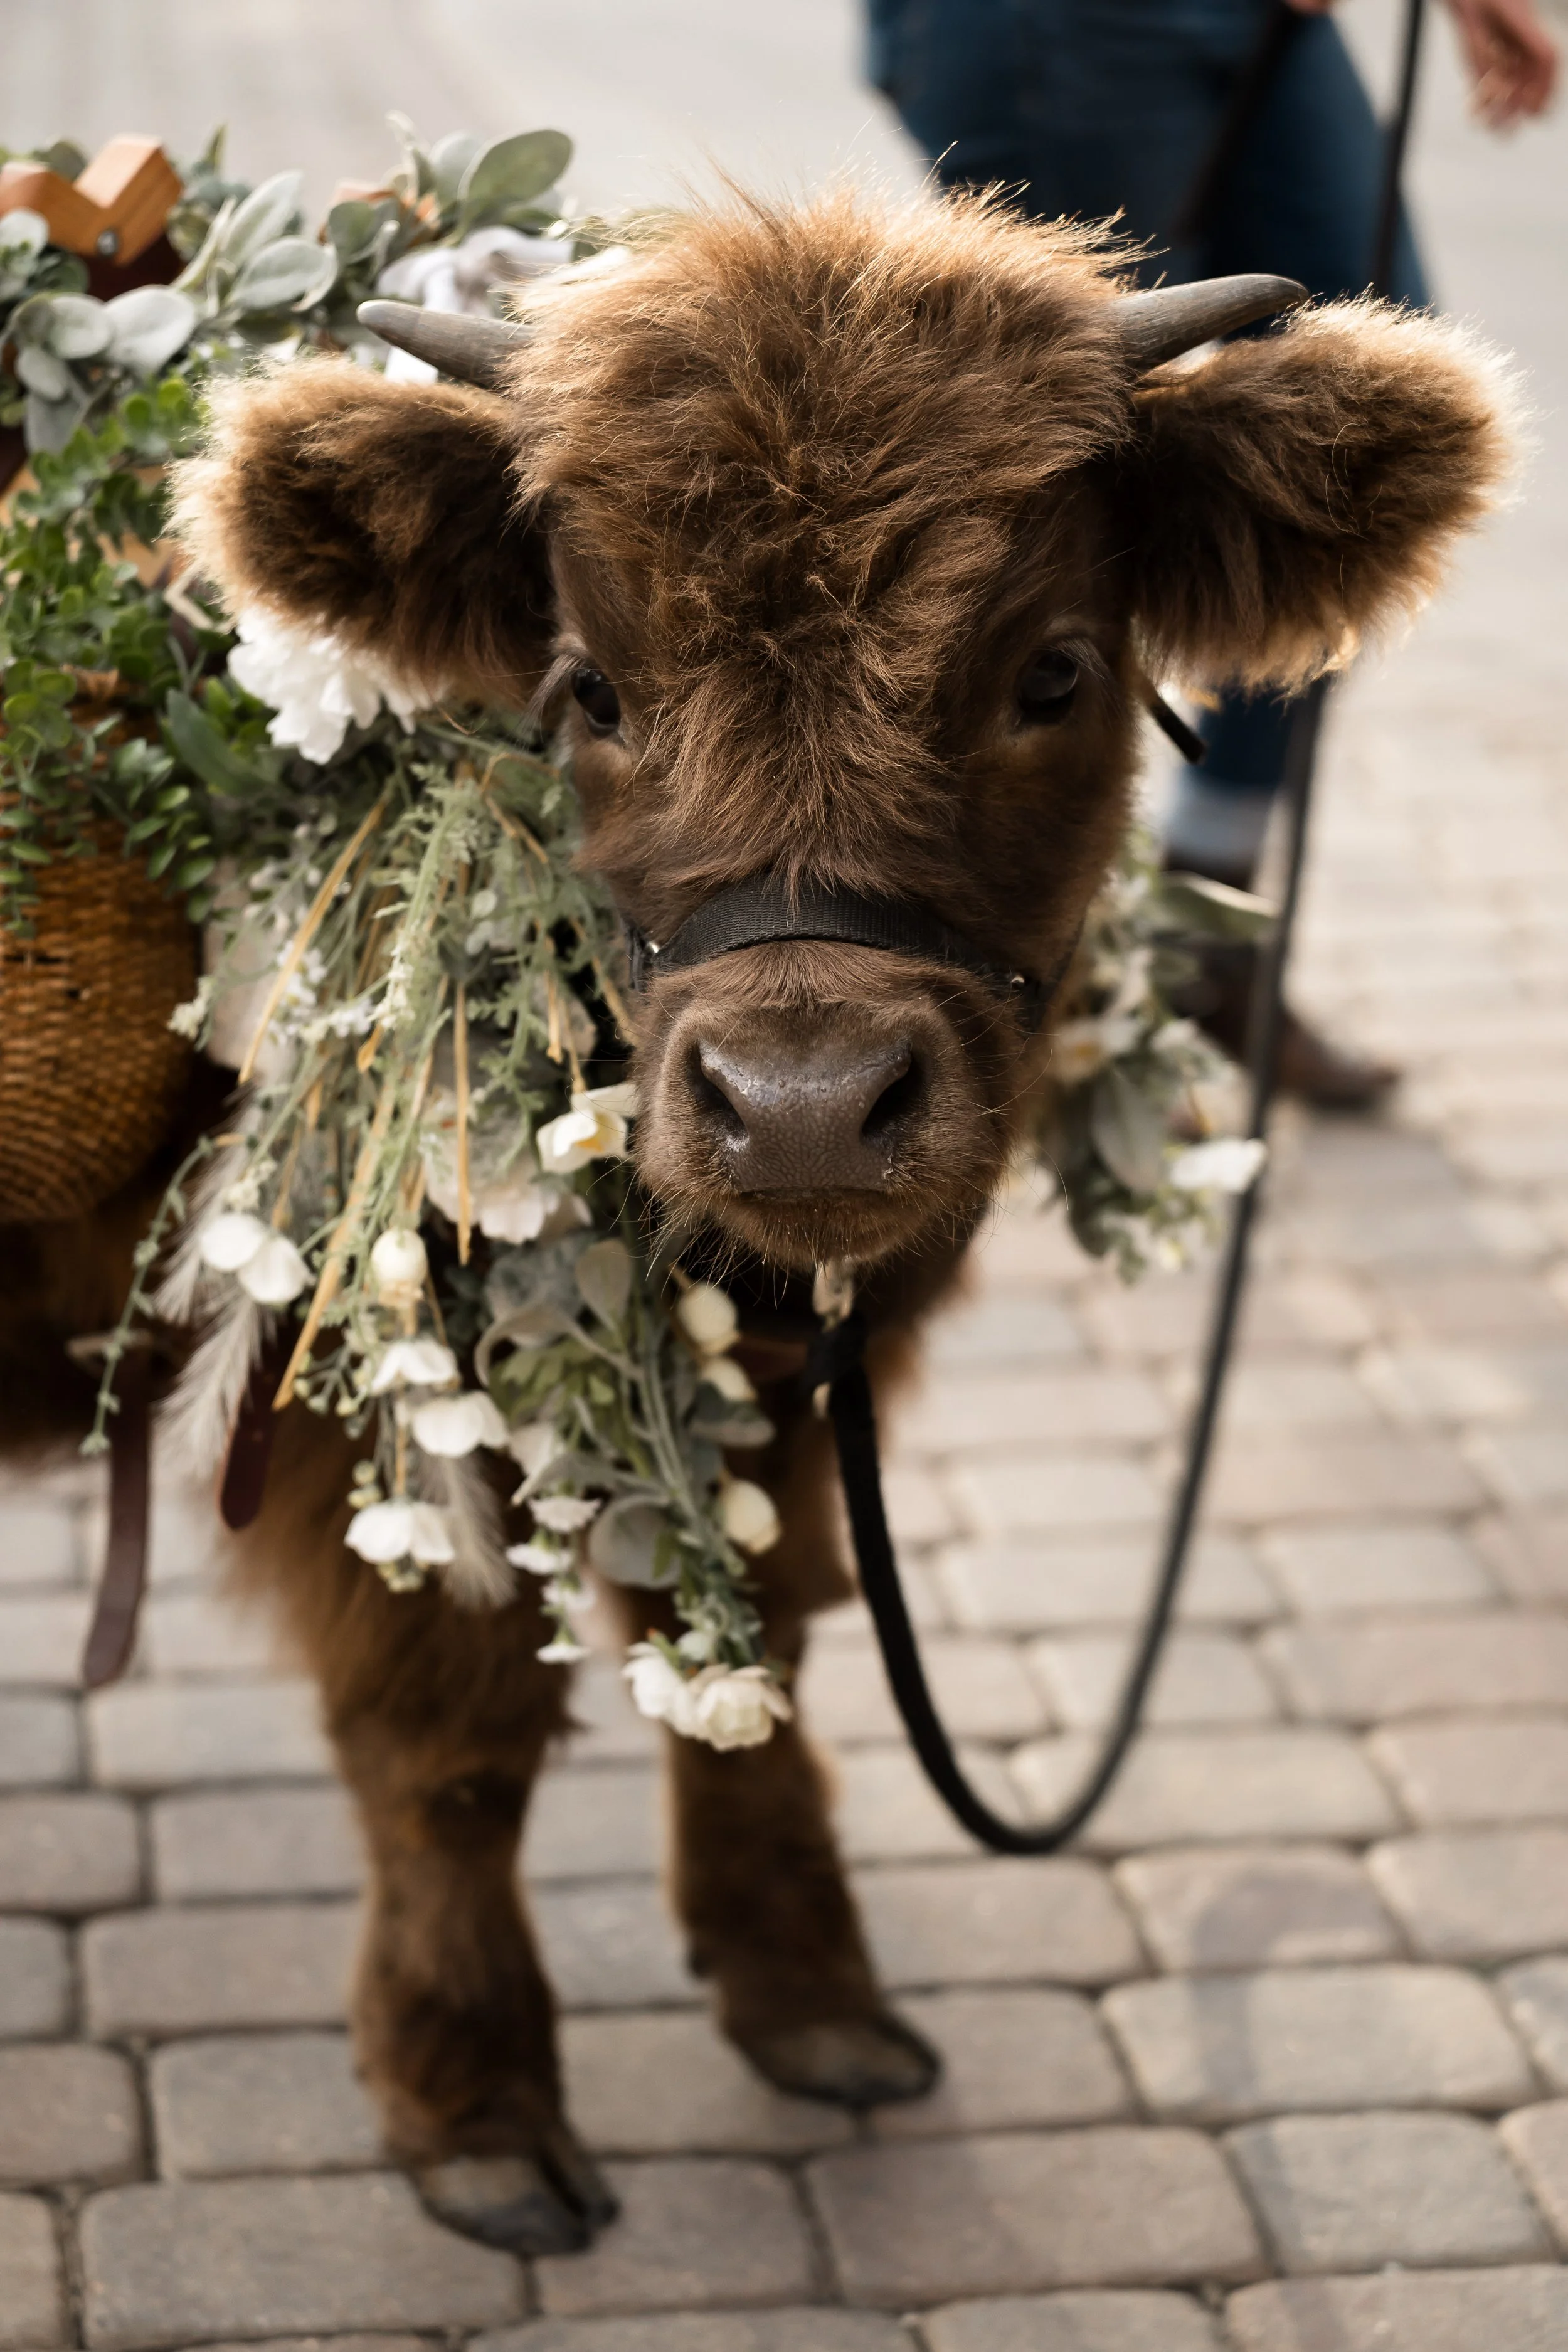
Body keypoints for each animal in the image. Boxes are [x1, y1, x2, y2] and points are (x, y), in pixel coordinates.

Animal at [14, 186, 1509, 2259]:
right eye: (591, 687)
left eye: (1050, 670)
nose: (802, 1102)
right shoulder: (352, 1405)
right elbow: (452, 1735)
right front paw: (475, 2101)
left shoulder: (800, 1372)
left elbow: (759, 1630)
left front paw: (810, 1994)